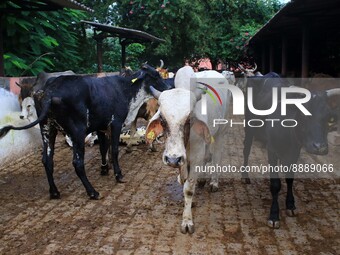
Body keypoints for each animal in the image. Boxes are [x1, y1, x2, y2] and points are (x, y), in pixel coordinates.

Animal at [0, 63, 170, 199]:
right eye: (155, 76)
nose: (168, 88)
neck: (125, 89)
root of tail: (49, 91)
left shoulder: (101, 127)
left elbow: (103, 148)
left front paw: (104, 169)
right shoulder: (116, 123)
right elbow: (114, 150)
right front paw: (118, 174)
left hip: (47, 128)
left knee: (47, 160)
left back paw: (54, 192)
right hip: (77, 131)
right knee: (77, 162)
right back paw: (92, 192)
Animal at [146, 66, 231, 234]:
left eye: (189, 119)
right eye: (162, 120)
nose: (173, 159)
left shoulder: (196, 156)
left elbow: (189, 189)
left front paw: (187, 221)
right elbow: (183, 180)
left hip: (221, 132)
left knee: (216, 155)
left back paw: (213, 182)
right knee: (207, 156)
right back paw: (203, 180)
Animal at [242, 72, 340, 229]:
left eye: (329, 119)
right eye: (303, 115)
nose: (320, 147)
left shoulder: (295, 151)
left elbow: (289, 178)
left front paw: (290, 205)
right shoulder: (272, 150)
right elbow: (275, 184)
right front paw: (274, 215)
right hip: (249, 126)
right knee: (246, 149)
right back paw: (245, 175)